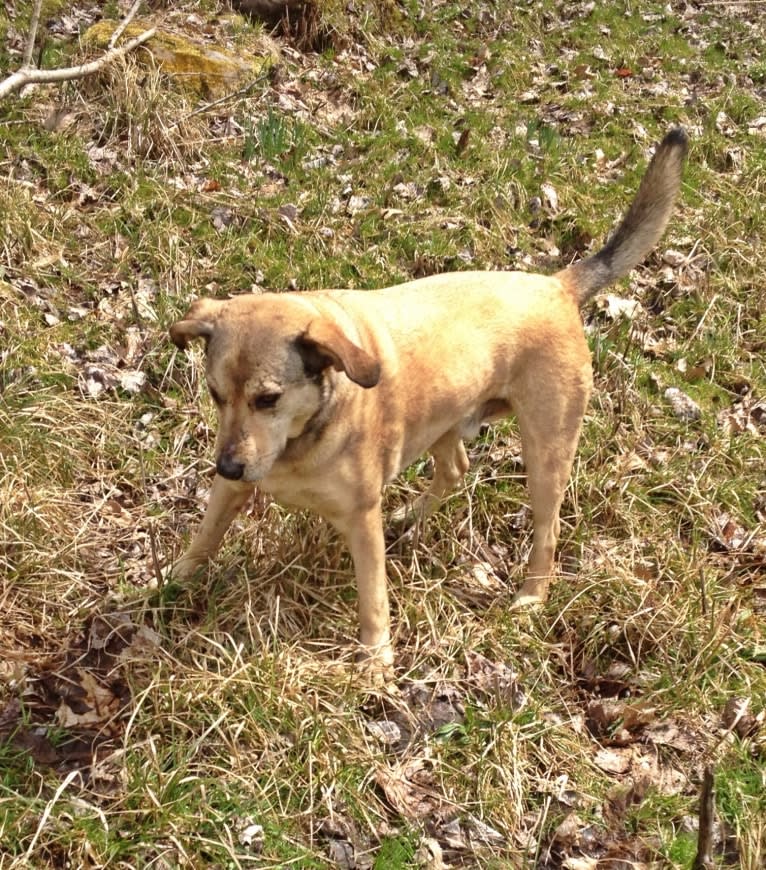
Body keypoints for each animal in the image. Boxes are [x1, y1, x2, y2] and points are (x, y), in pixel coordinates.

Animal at [170, 129, 688, 676]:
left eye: (268, 399)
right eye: (215, 395)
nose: (227, 465)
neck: (300, 437)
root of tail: (557, 285)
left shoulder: (360, 520)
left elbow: (373, 598)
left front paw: (376, 660)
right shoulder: (232, 490)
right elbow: (203, 539)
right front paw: (171, 584)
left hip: (547, 451)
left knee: (546, 530)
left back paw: (530, 598)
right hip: (444, 419)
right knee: (456, 467)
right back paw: (413, 516)